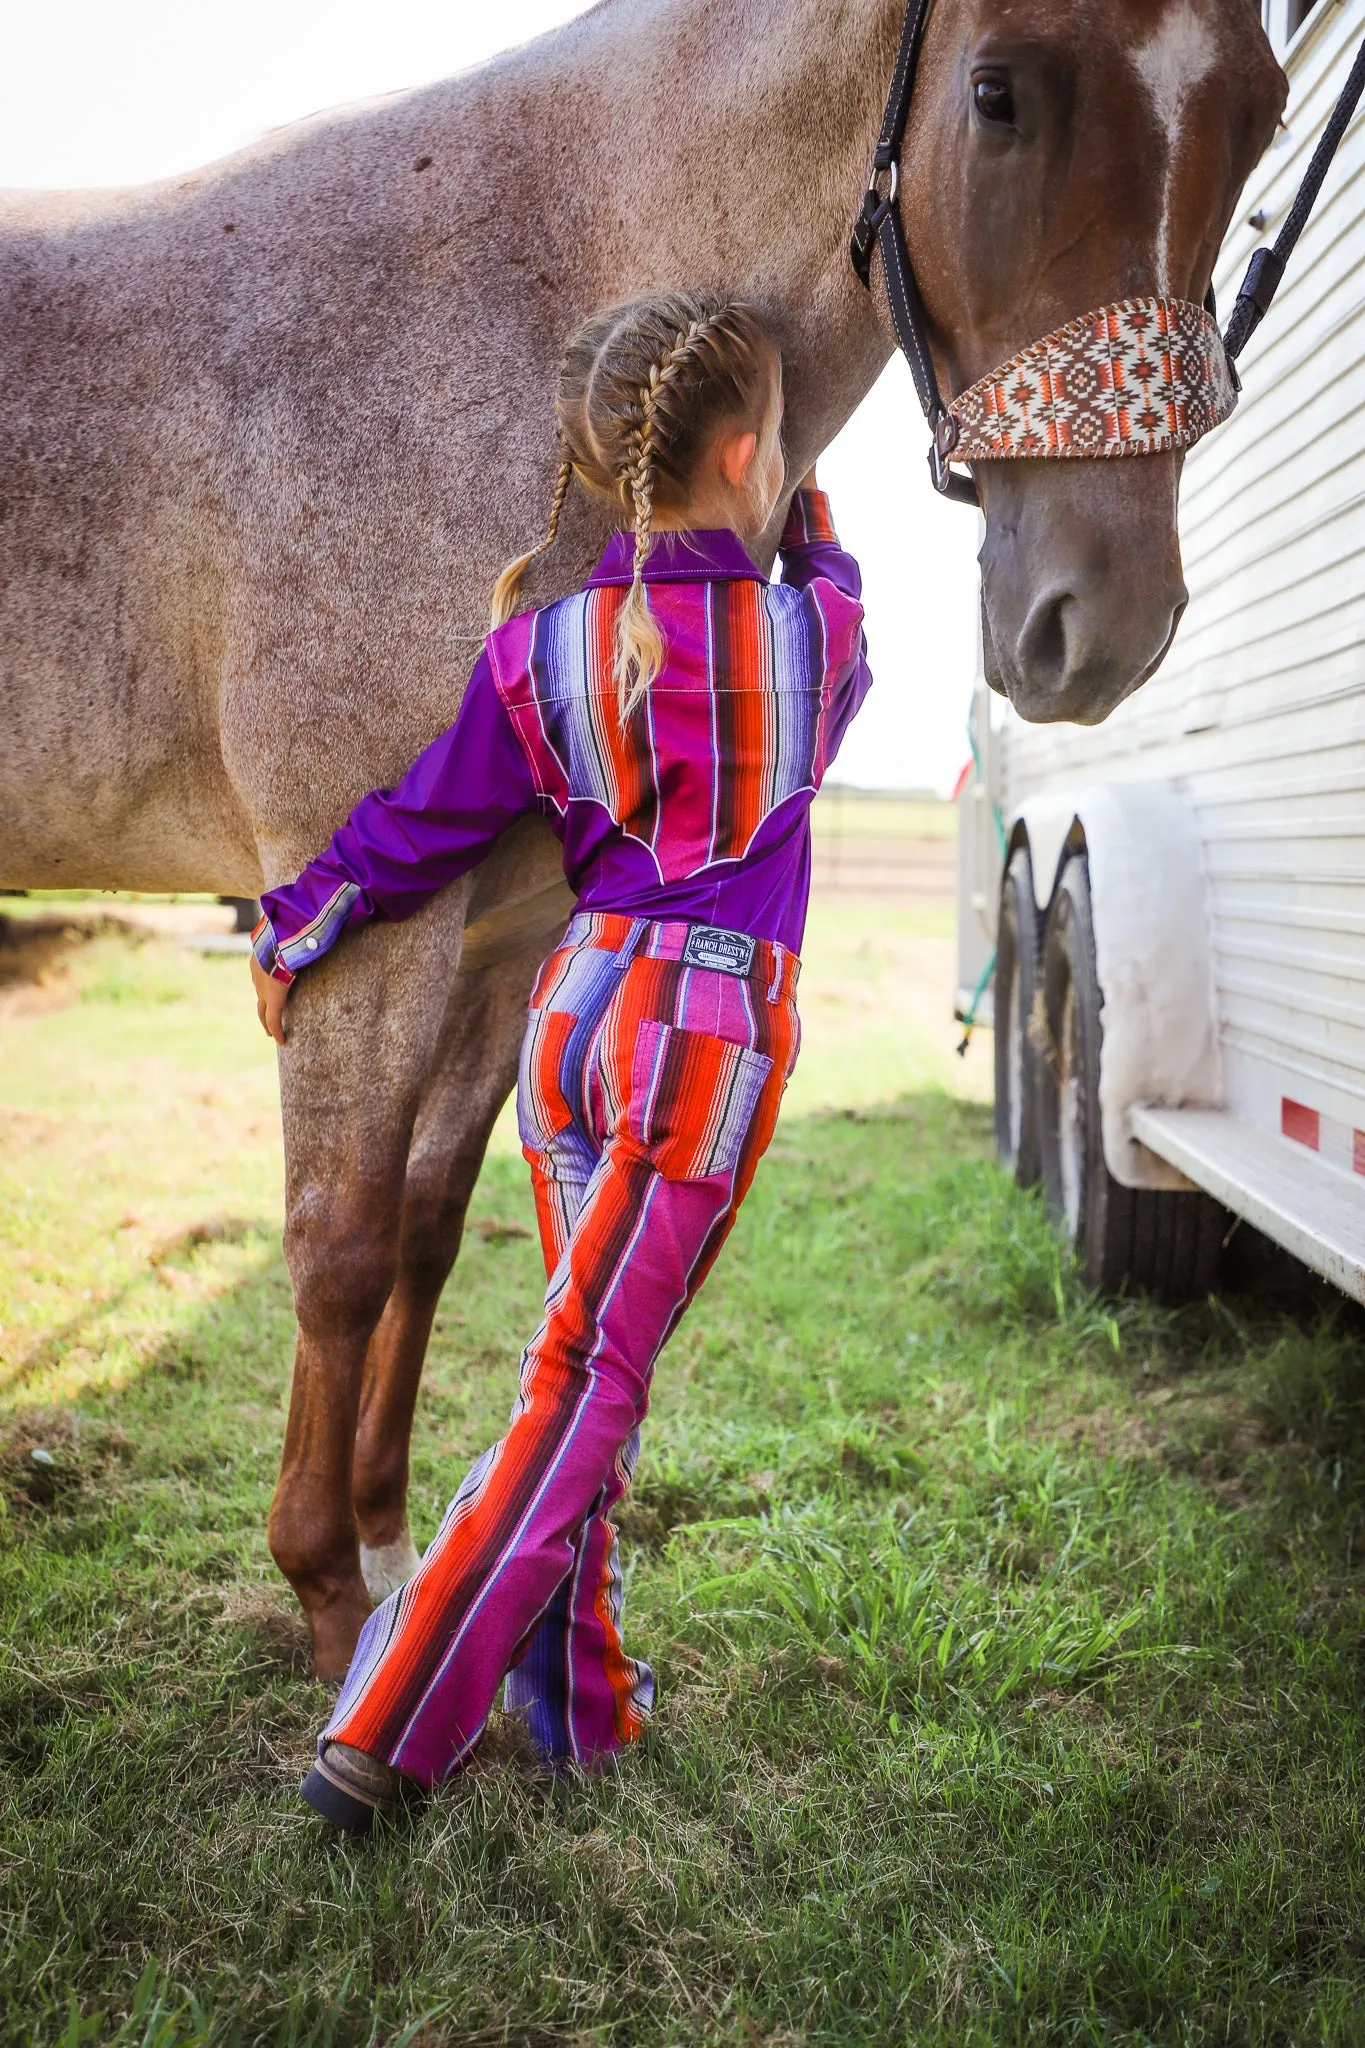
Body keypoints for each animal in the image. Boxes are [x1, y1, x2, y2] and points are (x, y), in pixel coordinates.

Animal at [0, 0, 1285, 1671]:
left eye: (1261, 121)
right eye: (998, 95)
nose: (1103, 622)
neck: (493, 311)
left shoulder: (502, 933)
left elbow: (422, 1226)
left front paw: (391, 1546)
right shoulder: (371, 929)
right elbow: (338, 1245)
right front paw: (331, 1595)